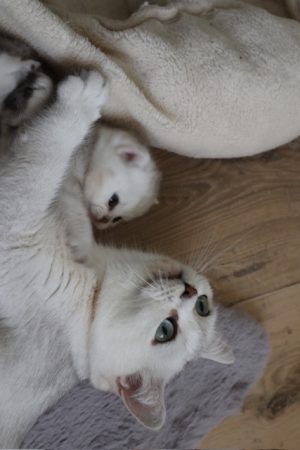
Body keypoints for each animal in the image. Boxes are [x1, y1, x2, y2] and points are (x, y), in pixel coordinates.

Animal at [0, 70, 234, 446]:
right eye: (204, 307)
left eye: (166, 332)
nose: (190, 293)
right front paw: (39, 97)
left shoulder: (15, 227)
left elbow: (45, 153)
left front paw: (78, 99)